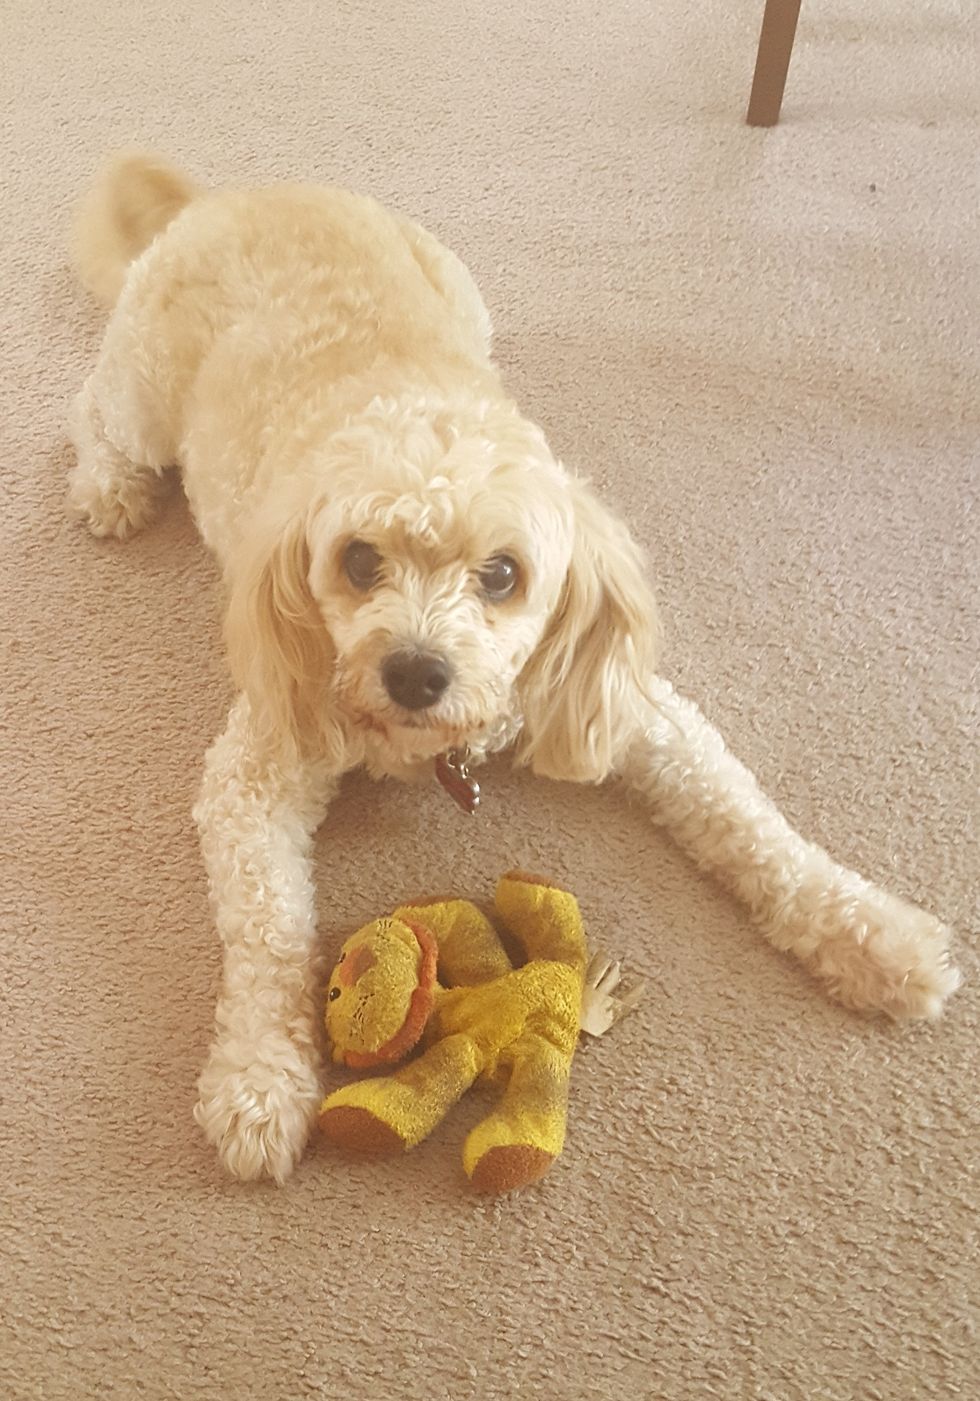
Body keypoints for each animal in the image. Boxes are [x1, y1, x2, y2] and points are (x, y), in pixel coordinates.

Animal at [68, 154, 960, 1183]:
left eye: (502, 575)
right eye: (358, 561)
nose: (416, 672)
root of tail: (228, 197)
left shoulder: (624, 710)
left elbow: (752, 824)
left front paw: (876, 936)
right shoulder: (257, 770)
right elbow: (269, 929)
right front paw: (260, 1075)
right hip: (145, 392)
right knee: (92, 413)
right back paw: (108, 486)